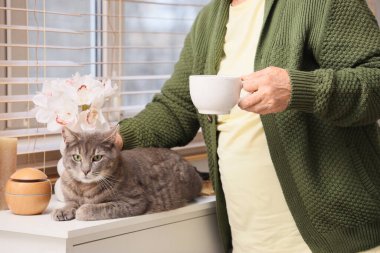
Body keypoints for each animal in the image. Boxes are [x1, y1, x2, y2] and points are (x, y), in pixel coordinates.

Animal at [52, 126, 205, 221]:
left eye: (97, 157)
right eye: (77, 157)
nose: (85, 170)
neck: (84, 188)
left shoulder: (134, 202)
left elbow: (97, 208)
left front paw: (82, 210)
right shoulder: (70, 195)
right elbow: (70, 202)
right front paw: (63, 210)